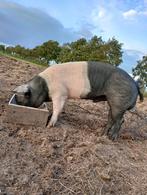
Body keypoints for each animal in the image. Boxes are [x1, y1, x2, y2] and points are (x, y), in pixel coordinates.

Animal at [13, 61, 143, 140]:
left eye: (23, 99)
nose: (18, 104)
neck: (45, 86)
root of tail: (135, 84)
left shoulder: (60, 94)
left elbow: (57, 109)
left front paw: (49, 126)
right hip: (112, 103)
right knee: (111, 119)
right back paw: (101, 135)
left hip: (119, 103)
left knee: (120, 121)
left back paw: (111, 138)